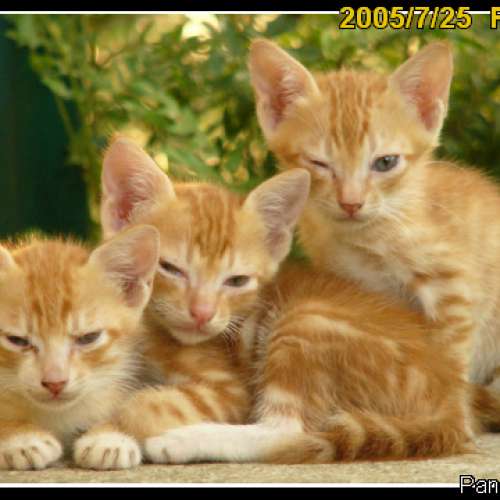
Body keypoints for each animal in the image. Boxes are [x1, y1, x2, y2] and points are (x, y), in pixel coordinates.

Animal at [72, 137, 311, 469]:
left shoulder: (229, 390)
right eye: (170, 268)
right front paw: (107, 437)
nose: (202, 313)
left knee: (289, 432)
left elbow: (146, 404)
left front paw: (111, 428)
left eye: (237, 281)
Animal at [247, 39, 500, 392]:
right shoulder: (358, 290)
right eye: (319, 163)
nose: (351, 203)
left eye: (385, 162)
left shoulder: (453, 289)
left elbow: (448, 361)